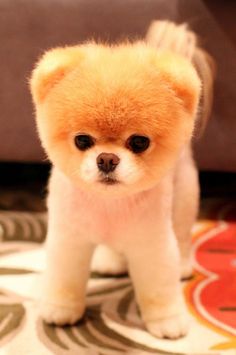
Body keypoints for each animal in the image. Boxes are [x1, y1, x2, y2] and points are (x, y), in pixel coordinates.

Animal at [30, 21, 214, 340]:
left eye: (139, 142)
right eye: (82, 140)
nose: (106, 158)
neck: (109, 205)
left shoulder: (152, 244)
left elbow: (158, 289)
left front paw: (168, 321)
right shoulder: (69, 238)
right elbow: (64, 279)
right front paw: (61, 309)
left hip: (184, 198)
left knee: (181, 234)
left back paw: (182, 264)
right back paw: (110, 261)